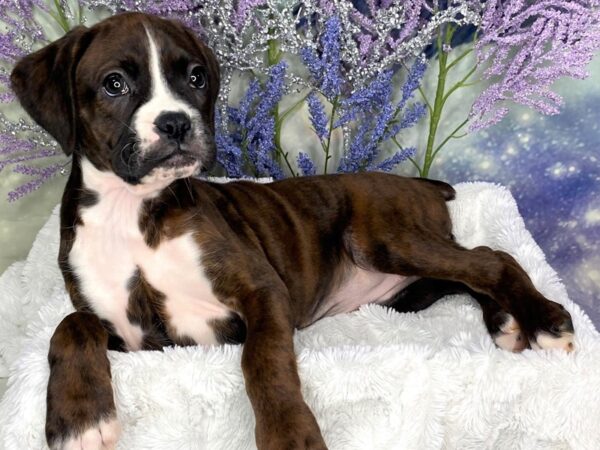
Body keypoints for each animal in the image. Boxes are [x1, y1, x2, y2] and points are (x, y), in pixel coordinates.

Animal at [9, 11, 576, 450]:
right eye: (114, 84)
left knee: (491, 259)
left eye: (195, 77)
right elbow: (69, 326)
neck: (135, 213)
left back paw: (545, 320)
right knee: (467, 274)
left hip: (386, 239)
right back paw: (507, 321)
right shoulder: (129, 336)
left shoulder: (261, 294)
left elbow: (265, 363)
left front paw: (288, 433)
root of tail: (420, 183)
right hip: (407, 288)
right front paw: (79, 419)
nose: (176, 122)